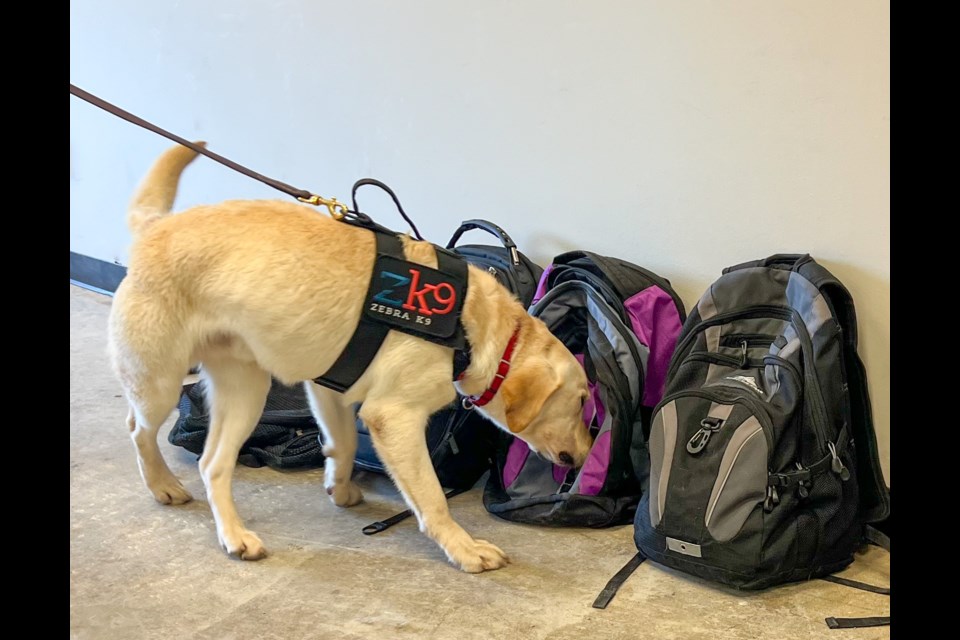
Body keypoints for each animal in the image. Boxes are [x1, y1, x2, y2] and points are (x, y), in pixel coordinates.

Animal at [112, 142, 592, 572]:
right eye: (583, 400)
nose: (588, 454)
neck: (471, 324)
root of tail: (156, 227)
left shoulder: (330, 391)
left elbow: (341, 445)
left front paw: (339, 488)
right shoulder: (395, 417)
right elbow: (433, 497)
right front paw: (464, 549)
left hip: (245, 391)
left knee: (212, 464)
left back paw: (235, 536)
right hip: (160, 381)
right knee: (138, 429)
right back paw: (164, 485)